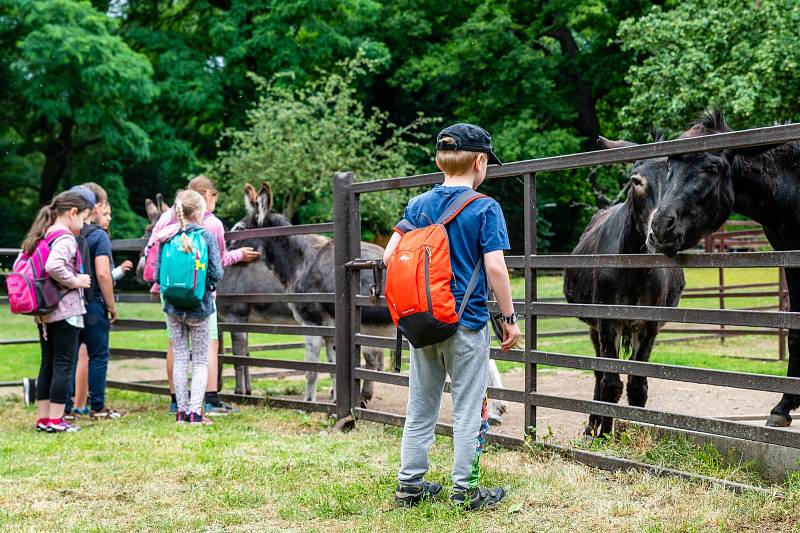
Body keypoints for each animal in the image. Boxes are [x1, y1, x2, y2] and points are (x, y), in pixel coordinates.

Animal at [564, 136, 688, 436]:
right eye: (636, 181)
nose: (660, 232)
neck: (636, 271)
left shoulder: (649, 325)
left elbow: (637, 384)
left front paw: (635, 430)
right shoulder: (608, 321)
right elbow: (610, 383)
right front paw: (604, 434)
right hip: (596, 327)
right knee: (599, 372)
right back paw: (592, 426)